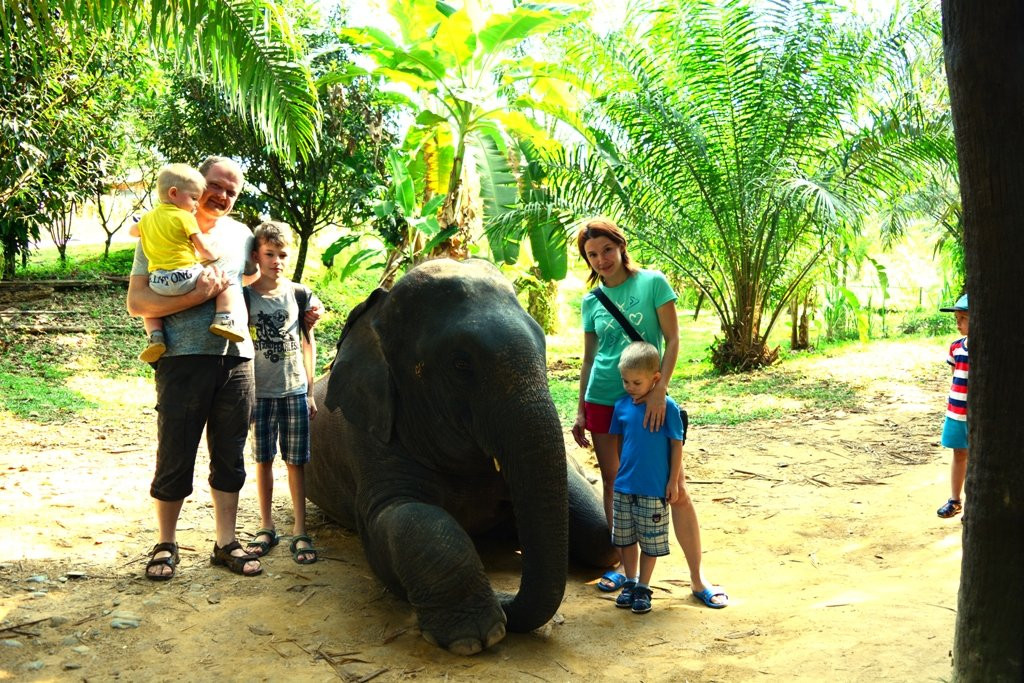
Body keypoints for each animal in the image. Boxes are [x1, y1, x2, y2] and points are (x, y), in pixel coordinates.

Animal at [307, 259, 610, 655]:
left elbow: (596, 523)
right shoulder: (370, 439)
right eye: (461, 364)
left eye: (543, 344)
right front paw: (475, 637)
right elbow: (410, 519)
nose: (504, 597)